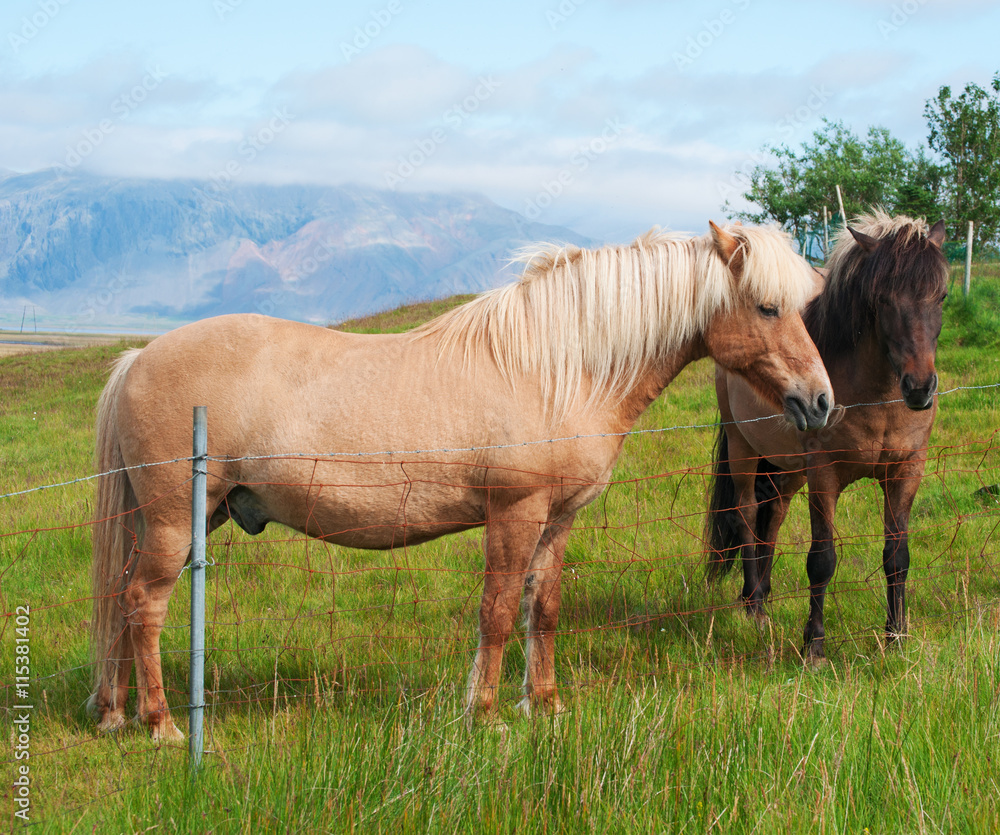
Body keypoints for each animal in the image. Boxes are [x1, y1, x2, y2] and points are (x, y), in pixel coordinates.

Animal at [89, 221, 833, 740]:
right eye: (768, 308)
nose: (821, 402)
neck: (561, 366)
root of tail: (136, 358)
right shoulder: (515, 513)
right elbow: (497, 612)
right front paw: (486, 713)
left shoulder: (558, 520)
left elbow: (544, 609)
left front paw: (546, 705)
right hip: (173, 522)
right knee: (143, 603)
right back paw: (161, 724)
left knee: (123, 600)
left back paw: (115, 712)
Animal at [706, 212, 948, 662]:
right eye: (883, 300)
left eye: (940, 297)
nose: (920, 388)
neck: (877, 398)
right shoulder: (825, 474)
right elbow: (821, 560)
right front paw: (814, 645)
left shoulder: (906, 471)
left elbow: (897, 555)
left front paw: (896, 636)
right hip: (743, 449)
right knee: (746, 514)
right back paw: (752, 605)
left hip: (787, 468)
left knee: (774, 515)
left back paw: (761, 595)